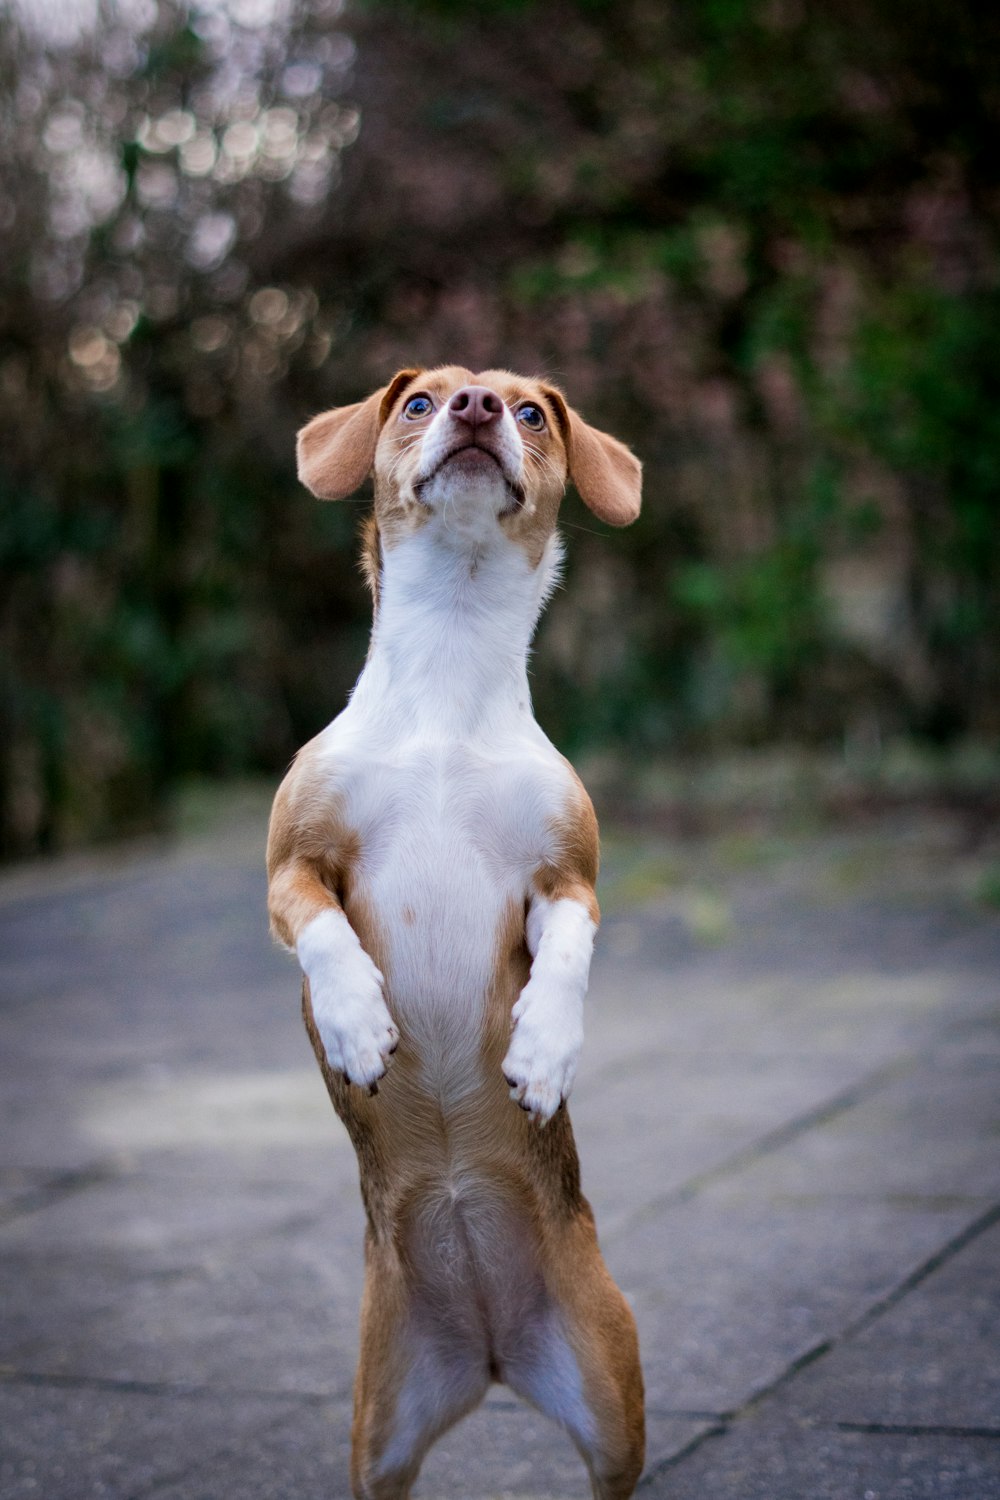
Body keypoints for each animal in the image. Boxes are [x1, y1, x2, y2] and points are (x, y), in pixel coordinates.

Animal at [265, 366, 644, 1500]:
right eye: (419, 403)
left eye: (530, 412)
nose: (476, 407)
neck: (449, 668)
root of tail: (488, 1349)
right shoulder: (288, 868)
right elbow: (324, 933)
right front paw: (356, 1027)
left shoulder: (569, 881)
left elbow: (567, 957)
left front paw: (542, 1053)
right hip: (378, 1433)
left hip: (612, 1403)